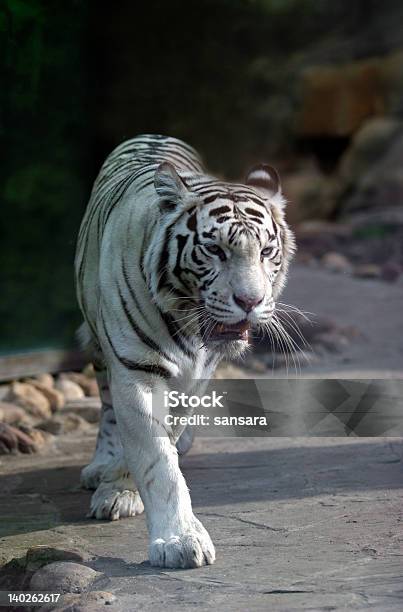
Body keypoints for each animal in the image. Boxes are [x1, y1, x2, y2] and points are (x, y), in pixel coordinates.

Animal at [74, 135, 296, 568]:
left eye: (265, 252)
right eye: (215, 250)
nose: (251, 301)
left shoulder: (193, 377)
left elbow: (161, 441)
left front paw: (122, 487)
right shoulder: (134, 369)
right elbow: (156, 460)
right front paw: (178, 541)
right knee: (106, 406)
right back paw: (100, 465)